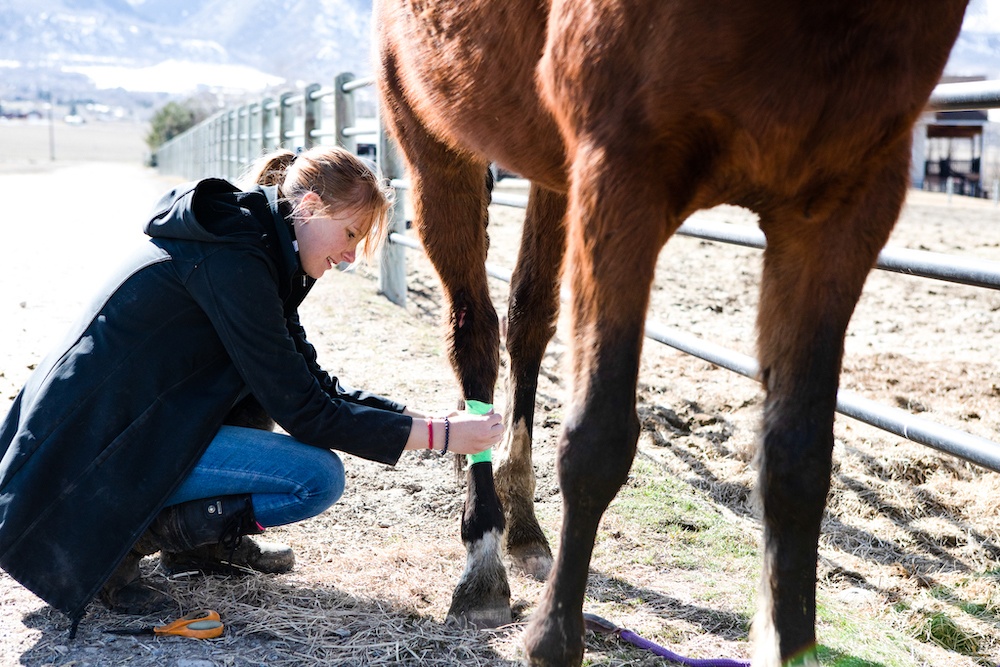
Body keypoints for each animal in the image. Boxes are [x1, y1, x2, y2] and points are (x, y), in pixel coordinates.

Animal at [376, 2, 968, 664]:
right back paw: (483, 563)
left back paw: (522, 524)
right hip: (434, 139)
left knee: (528, 320)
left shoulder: (843, 209)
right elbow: (599, 436)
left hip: (551, 173)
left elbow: (799, 456)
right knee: (474, 332)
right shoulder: (623, 172)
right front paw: (553, 639)